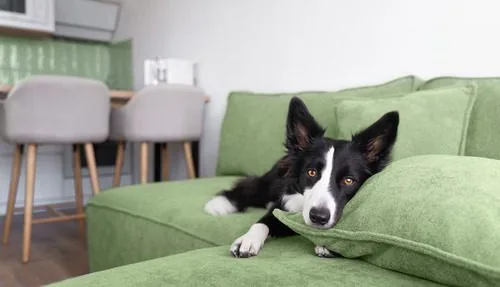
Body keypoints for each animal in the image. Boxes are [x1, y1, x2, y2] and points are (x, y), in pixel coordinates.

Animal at [203, 96, 398, 258]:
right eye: (311, 172)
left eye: (349, 180)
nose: (318, 217)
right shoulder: (283, 205)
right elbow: (262, 222)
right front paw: (247, 240)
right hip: (273, 181)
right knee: (250, 188)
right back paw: (219, 204)